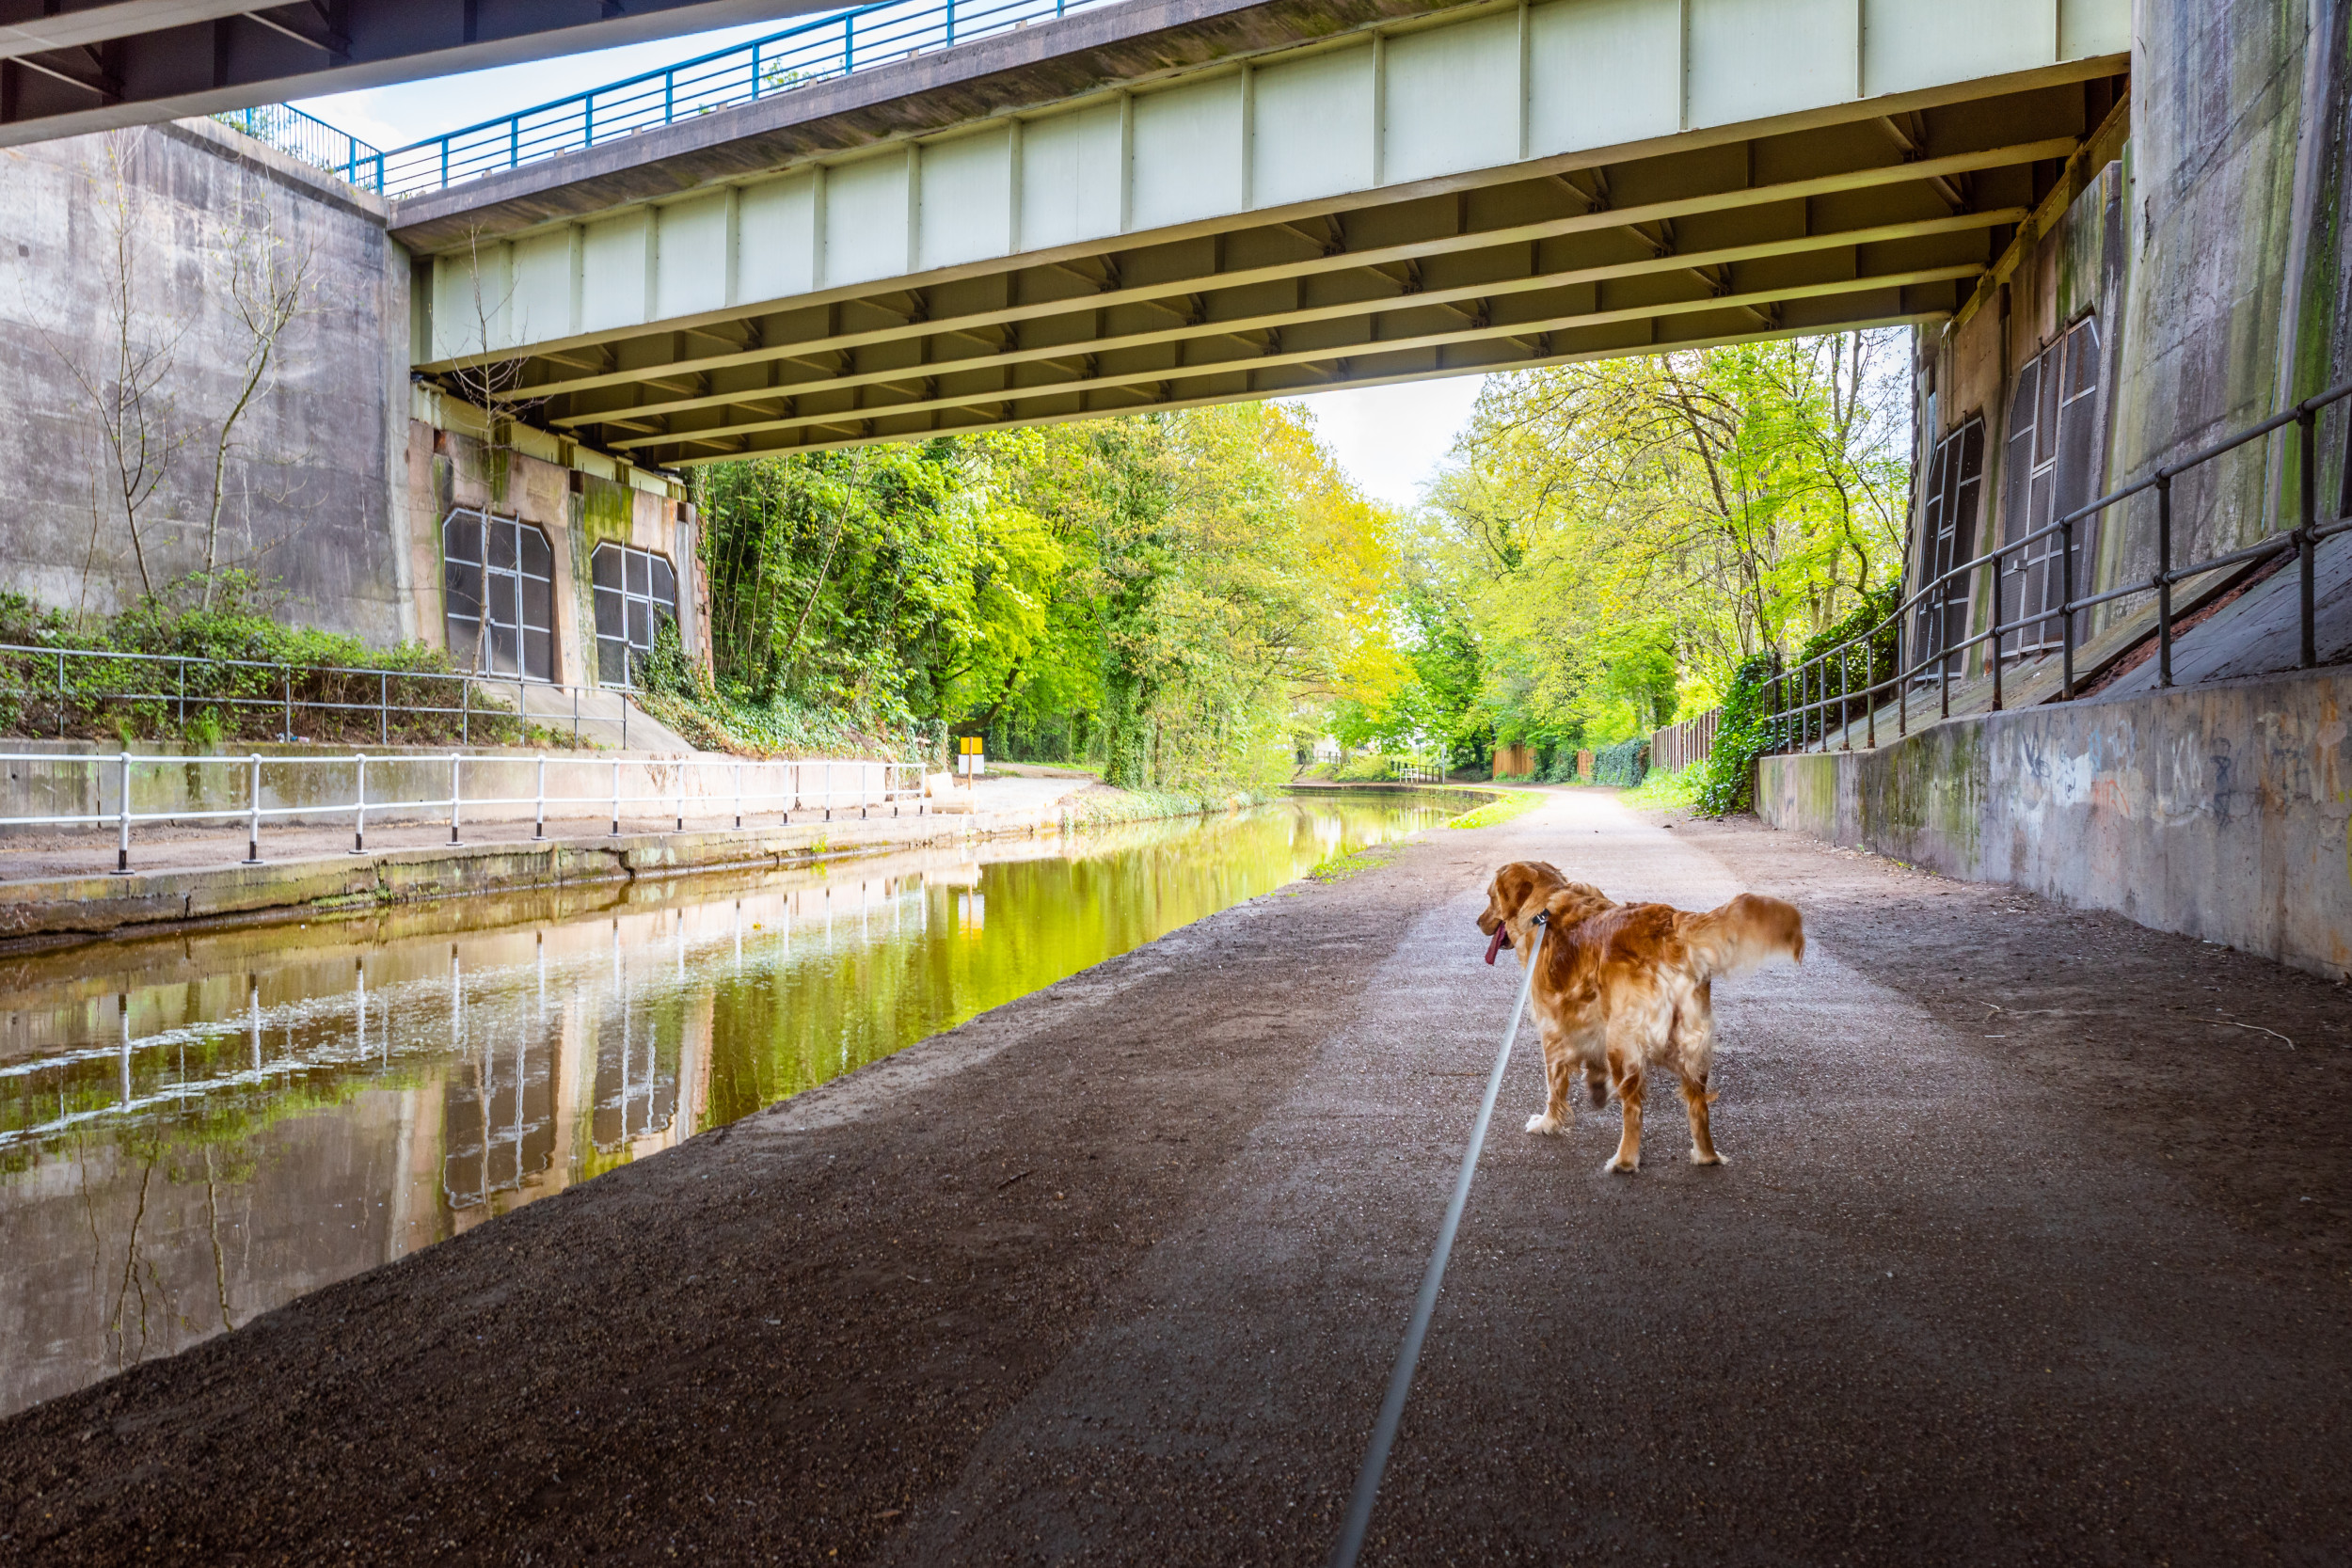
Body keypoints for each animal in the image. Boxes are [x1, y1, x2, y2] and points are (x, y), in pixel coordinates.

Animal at [1477, 860, 1806, 1175]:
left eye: (1491, 897)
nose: (1478, 922)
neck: (1544, 907)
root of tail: (1670, 928)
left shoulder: (1552, 1026)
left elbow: (1554, 1085)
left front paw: (1548, 1123)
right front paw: (1596, 1087)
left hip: (1624, 1040)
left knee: (1633, 1108)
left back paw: (1624, 1160)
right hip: (1691, 1040)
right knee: (1698, 1104)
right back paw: (1706, 1156)